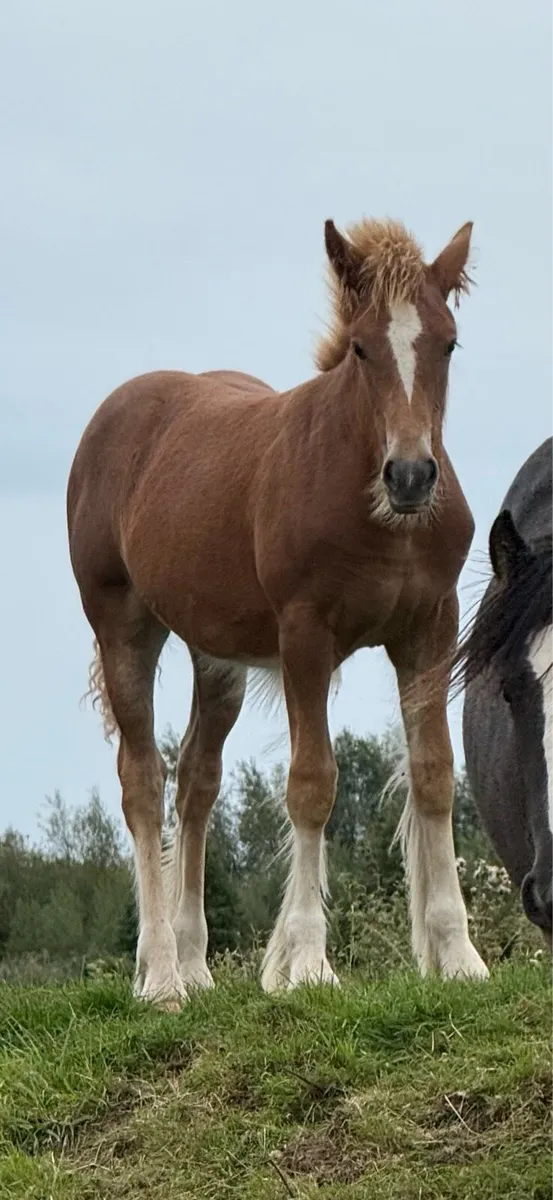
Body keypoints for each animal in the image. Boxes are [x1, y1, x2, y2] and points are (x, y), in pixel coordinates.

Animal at [67, 214, 489, 1008]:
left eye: (448, 342)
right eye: (361, 348)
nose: (412, 476)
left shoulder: (430, 629)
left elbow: (434, 773)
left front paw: (458, 957)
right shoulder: (305, 637)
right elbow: (312, 783)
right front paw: (309, 964)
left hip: (218, 660)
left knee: (196, 780)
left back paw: (196, 967)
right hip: (124, 627)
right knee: (142, 781)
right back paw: (160, 975)